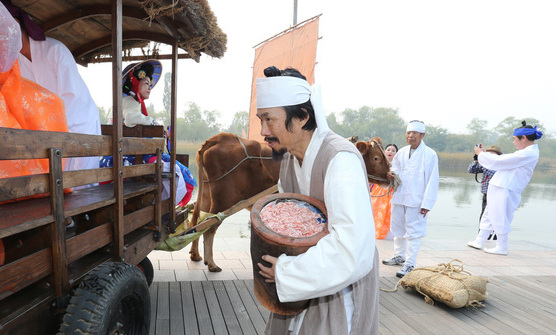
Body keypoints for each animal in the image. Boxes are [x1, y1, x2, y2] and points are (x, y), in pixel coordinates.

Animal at [191, 133, 390, 272]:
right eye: (376, 158)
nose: (391, 175)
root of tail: (219, 138)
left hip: (206, 196)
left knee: (197, 222)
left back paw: (197, 256)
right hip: (223, 200)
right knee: (209, 228)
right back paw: (212, 263)